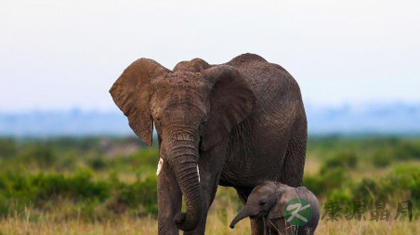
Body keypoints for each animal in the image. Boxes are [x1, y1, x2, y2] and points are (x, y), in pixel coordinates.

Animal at [110, 53, 306, 235]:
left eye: (203, 122)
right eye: (158, 119)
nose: (180, 217)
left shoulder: (221, 130)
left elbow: (205, 184)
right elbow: (166, 185)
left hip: (297, 131)